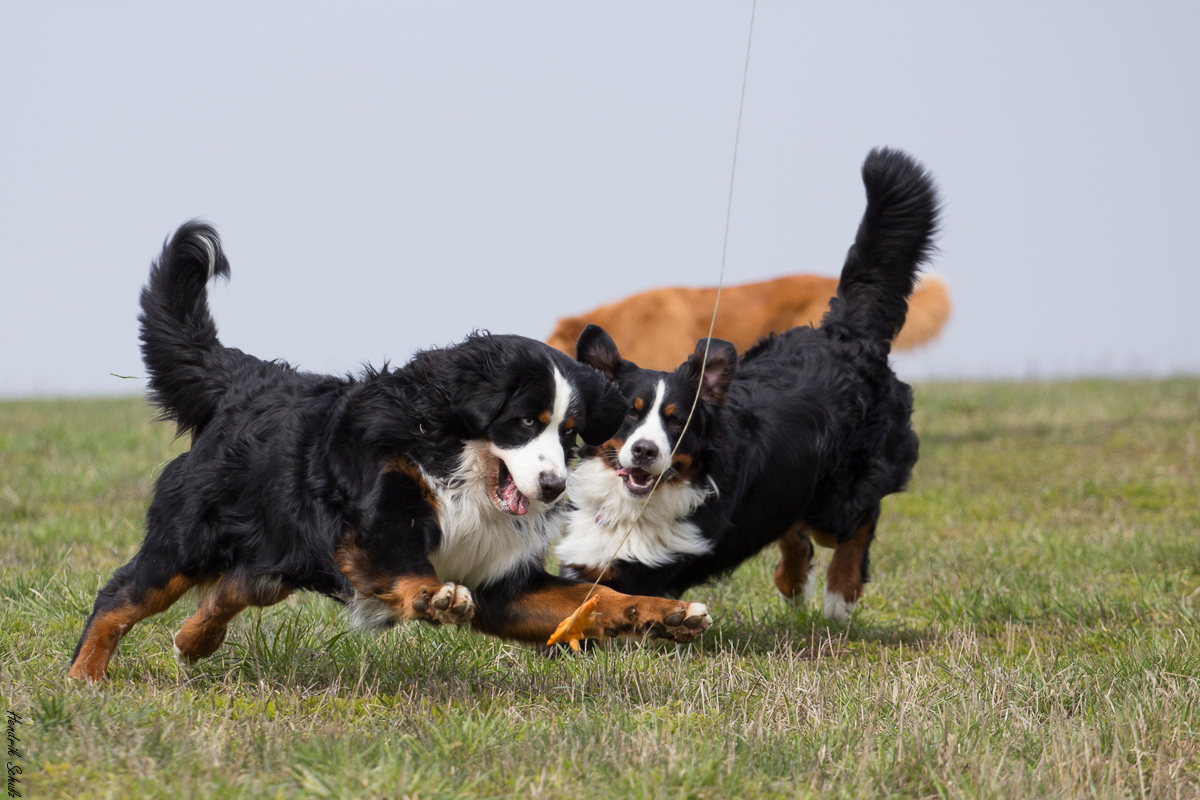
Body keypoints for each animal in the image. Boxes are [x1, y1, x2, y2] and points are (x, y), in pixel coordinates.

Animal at [68, 225, 710, 681]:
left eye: (570, 433)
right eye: (527, 421)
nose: (553, 488)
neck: (458, 468)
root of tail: (243, 381)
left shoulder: (504, 582)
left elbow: (592, 598)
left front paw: (664, 614)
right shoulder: (376, 521)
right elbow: (407, 566)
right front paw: (435, 597)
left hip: (279, 553)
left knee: (235, 589)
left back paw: (191, 641)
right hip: (188, 538)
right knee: (122, 594)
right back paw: (85, 678)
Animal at [556, 149, 940, 623]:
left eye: (677, 422)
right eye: (631, 410)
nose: (645, 451)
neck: (636, 507)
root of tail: (844, 334)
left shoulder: (645, 570)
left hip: (841, 492)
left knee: (858, 522)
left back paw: (839, 594)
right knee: (795, 532)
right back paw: (793, 584)